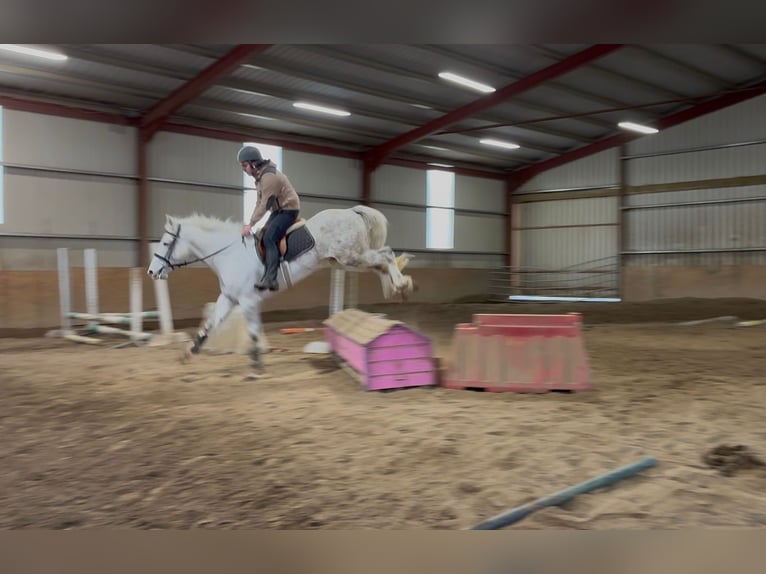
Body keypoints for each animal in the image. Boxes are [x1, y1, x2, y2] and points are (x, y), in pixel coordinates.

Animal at [146, 205, 415, 373]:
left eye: (166, 243)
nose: (151, 271)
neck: (229, 254)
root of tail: (352, 211)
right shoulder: (229, 298)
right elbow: (209, 326)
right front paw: (188, 353)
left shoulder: (248, 300)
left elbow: (253, 332)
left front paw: (256, 366)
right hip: (348, 260)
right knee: (381, 264)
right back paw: (398, 287)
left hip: (352, 257)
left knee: (386, 254)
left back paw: (402, 284)